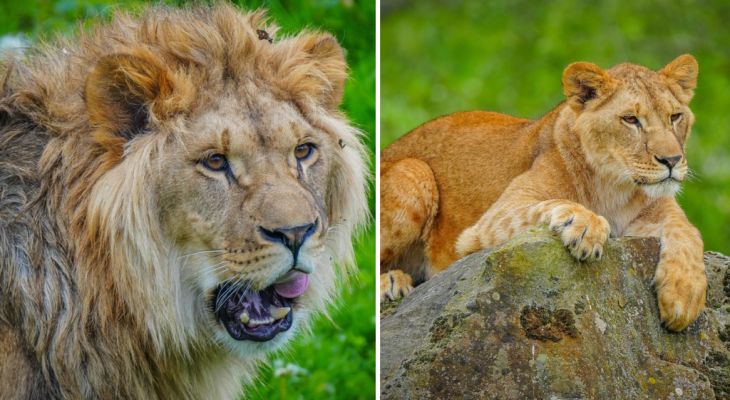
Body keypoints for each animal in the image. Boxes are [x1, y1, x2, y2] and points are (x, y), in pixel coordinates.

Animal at [380, 55, 705, 332]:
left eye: (675, 117)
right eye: (630, 120)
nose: (672, 161)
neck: (616, 187)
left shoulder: (656, 211)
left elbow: (689, 231)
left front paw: (684, 294)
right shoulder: (483, 227)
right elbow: (558, 201)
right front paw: (587, 226)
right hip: (414, 171)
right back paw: (392, 281)